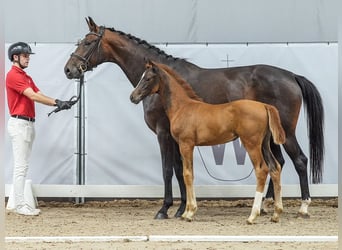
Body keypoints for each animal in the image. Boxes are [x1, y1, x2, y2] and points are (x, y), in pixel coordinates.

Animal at [130, 61, 284, 224]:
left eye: (147, 78)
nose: (133, 97)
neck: (182, 107)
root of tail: (264, 106)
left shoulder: (186, 144)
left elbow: (187, 174)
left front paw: (190, 212)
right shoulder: (182, 145)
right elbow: (186, 173)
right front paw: (185, 212)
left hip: (252, 144)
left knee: (262, 170)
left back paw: (252, 216)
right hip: (265, 145)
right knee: (275, 168)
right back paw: (276, 214)